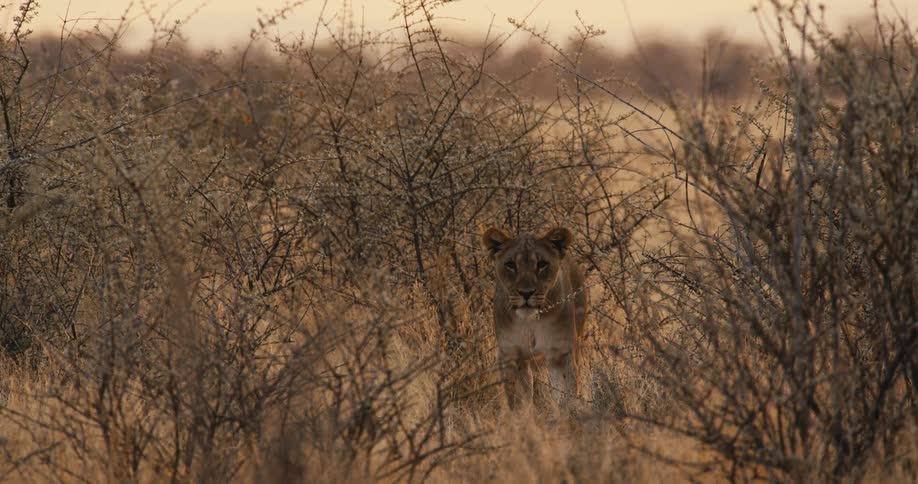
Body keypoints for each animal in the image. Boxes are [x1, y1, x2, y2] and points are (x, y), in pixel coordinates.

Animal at [482, 227, 588, 412]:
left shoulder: (561, 354)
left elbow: (565, 395)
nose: (526, 293)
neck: (530, 323)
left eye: (542, 264)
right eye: (510, 265)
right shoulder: (511, 355)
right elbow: (518, 402)